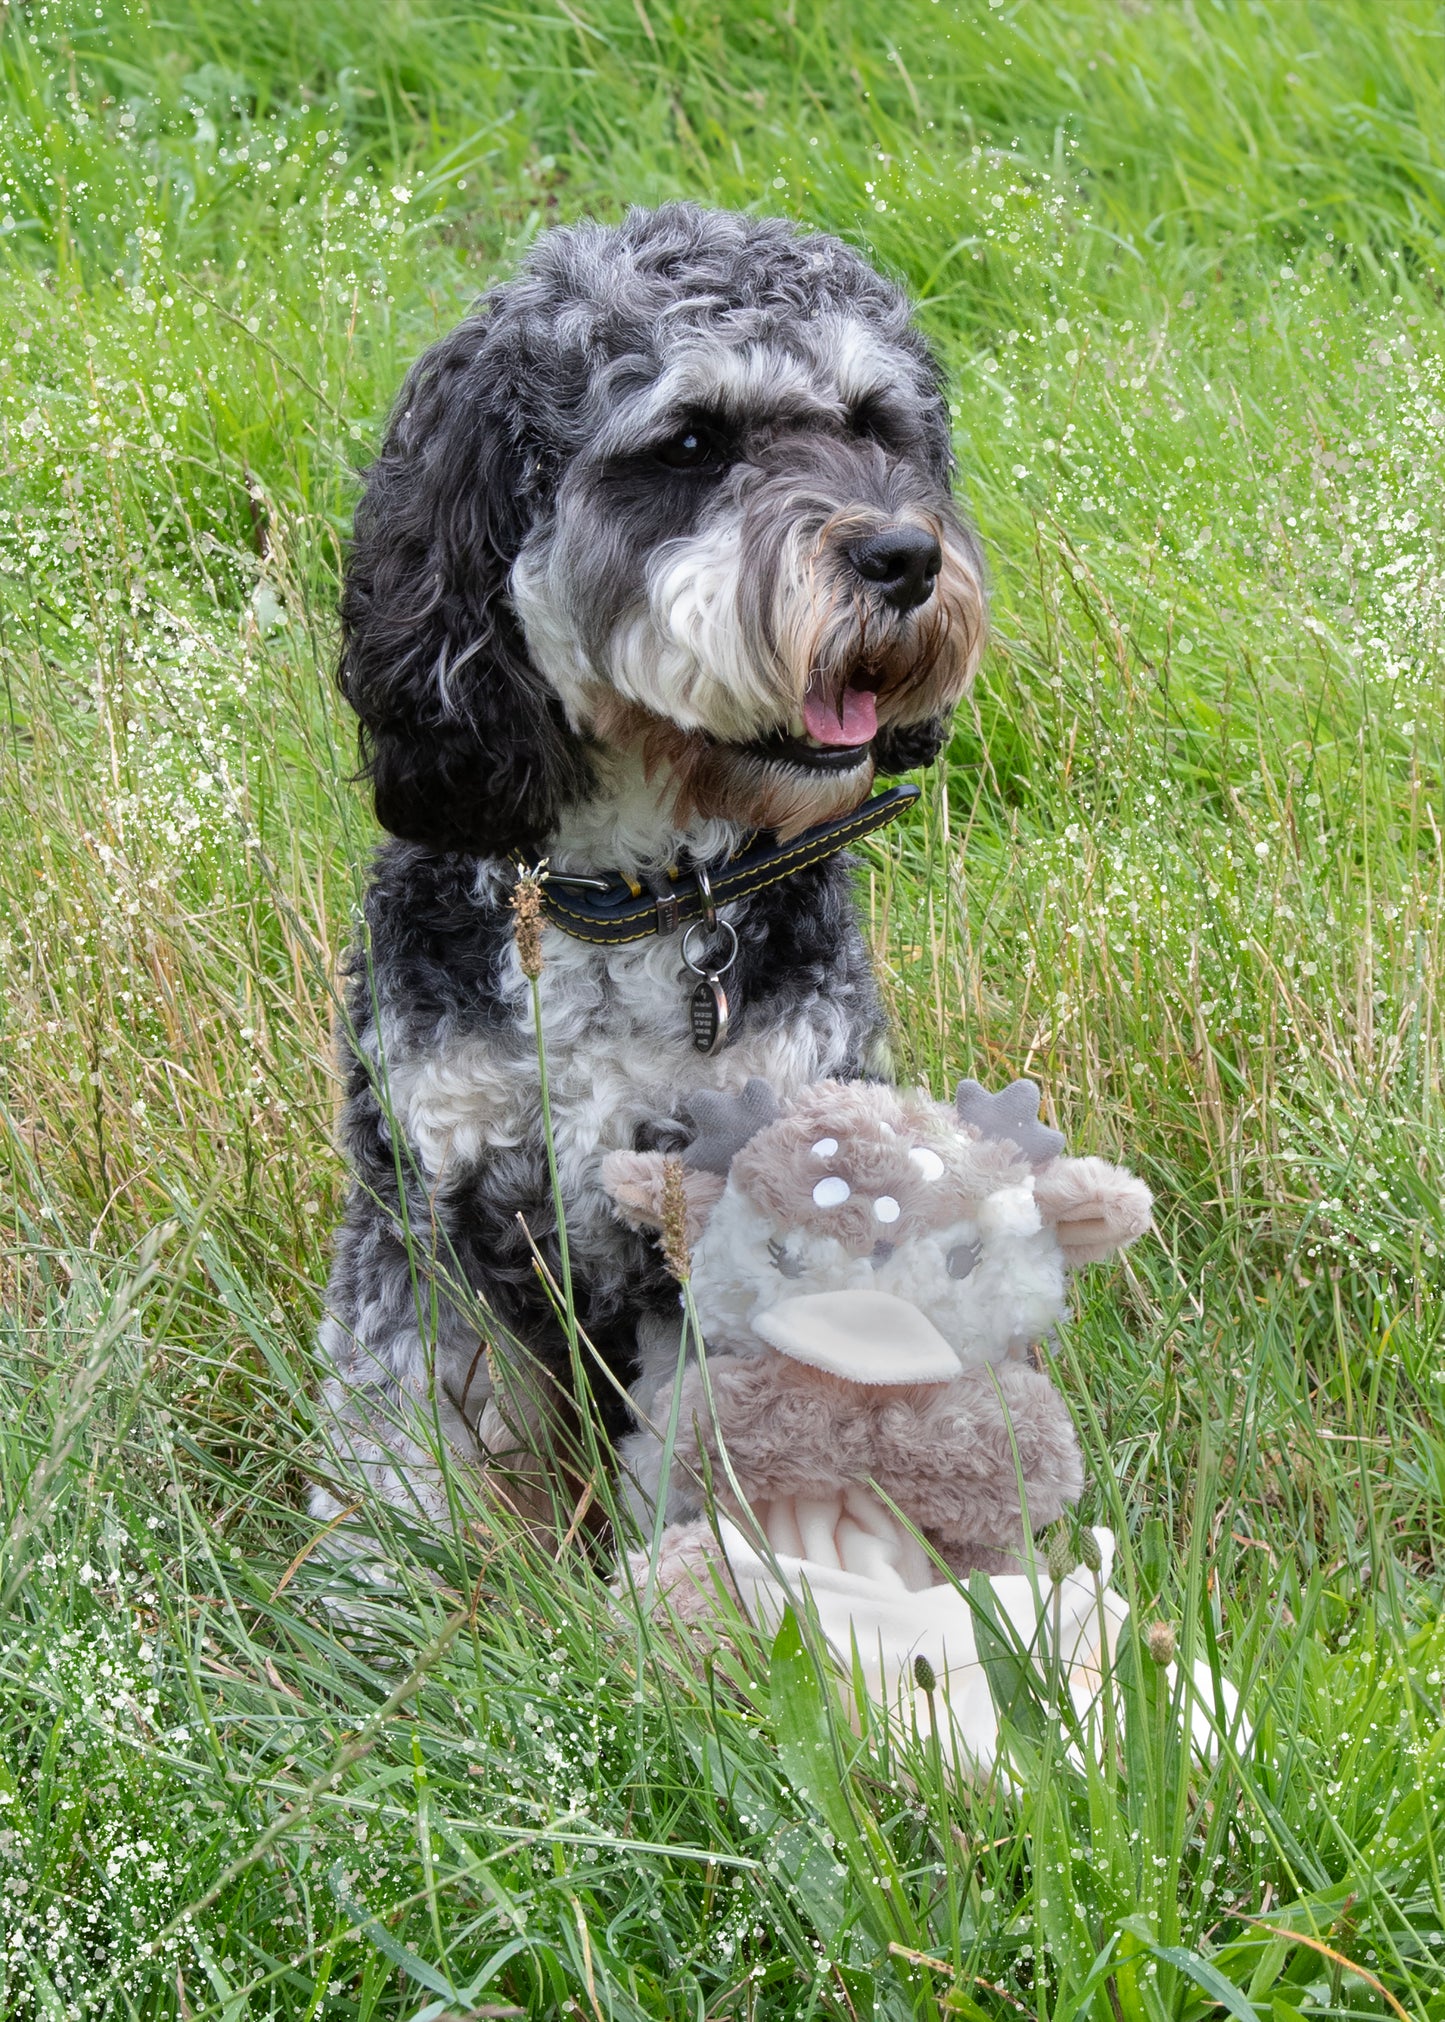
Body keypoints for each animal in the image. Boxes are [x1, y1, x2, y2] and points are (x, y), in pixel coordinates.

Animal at [315, 202, 985, 1526]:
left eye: (873, 425)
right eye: (687, 441)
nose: (902, 555)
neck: (631, 901)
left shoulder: (739, 1220)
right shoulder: (423, 1213)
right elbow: (401, 1453)